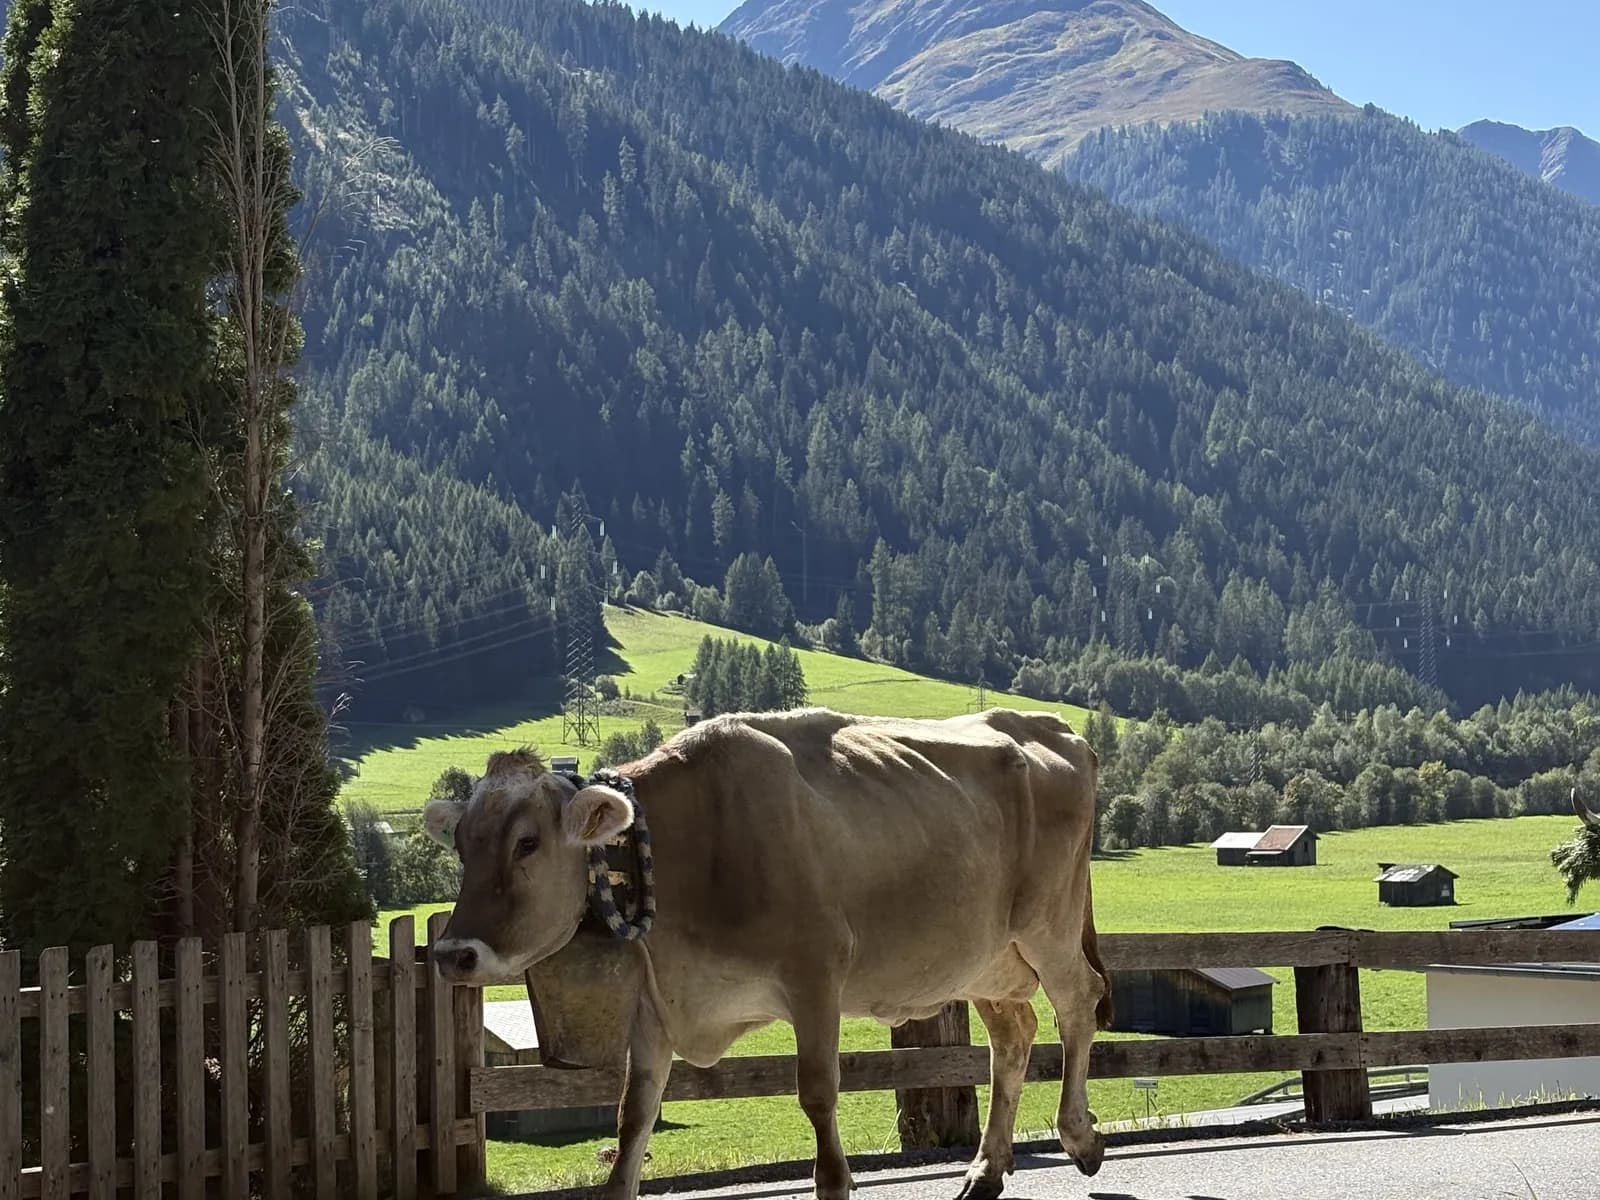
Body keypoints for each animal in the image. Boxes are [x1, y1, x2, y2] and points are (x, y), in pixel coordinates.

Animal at [425, 707, 1111, 1200]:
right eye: (461, 843)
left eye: (528, 844)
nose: (453, 954)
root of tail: (1054, 726)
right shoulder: (657, 1002)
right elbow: (632, 1117)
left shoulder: (816, 974)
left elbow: (818, 1094)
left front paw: (835, 1182)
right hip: (986, 958)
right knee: (1014, 1034)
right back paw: (985, 1169)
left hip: (1048, 927)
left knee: (1080, 1000)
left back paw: (1080, 1137)